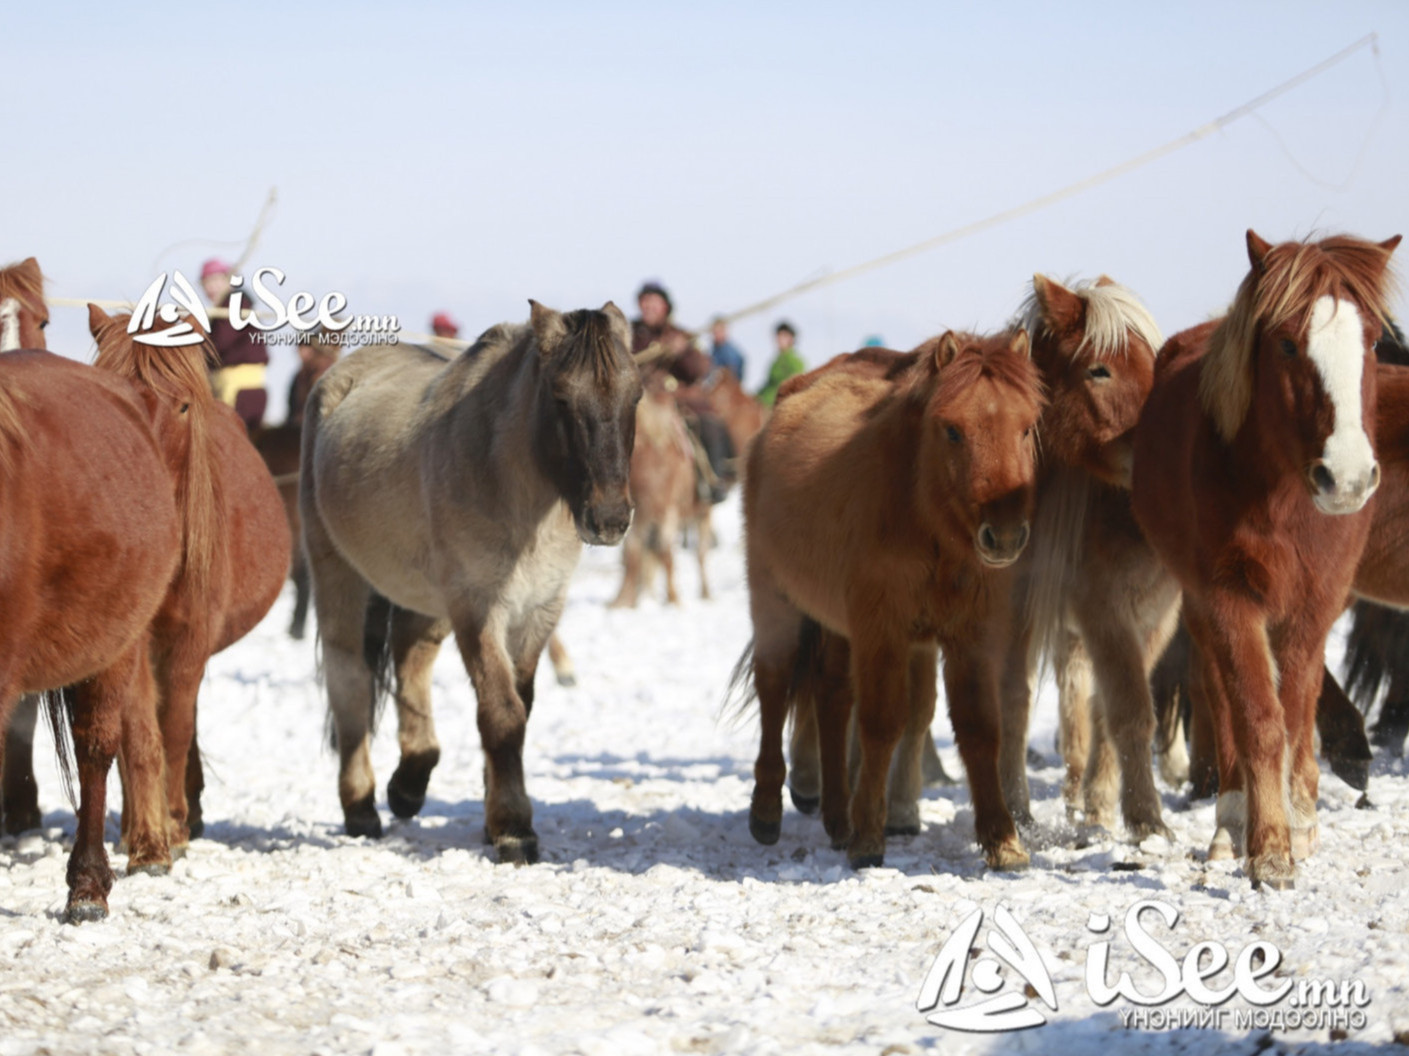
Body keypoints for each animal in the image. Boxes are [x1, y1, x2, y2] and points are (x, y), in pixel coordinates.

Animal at [89, 304, 290, 857]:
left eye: (181, 408)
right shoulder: (131, 641)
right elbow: (139, 732)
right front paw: (145, 836)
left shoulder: (191, 640)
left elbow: (174, 727)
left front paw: (175, 825)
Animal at [305, 300, 645, 862]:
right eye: (560, 397)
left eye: (635, 394)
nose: (610, 519)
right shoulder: (478, 608)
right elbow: (502, 713)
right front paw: (514, 829)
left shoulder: (537, 611)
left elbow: (520, 707)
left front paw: (493, 817)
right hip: (341, 577)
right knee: (349, 680)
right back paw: (361, 807)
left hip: (425, 599)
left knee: (411, 658)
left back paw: (409, 784)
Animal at [1132, 232, 1397, 891]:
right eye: (1287, 343)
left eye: (1372, 342)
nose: (1347, 477)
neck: (1280, 494)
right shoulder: (1229, 598)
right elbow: (1258, 717)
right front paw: (1269, 848)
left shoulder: (1315, 602)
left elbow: (1297, 712)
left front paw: (1298, 827)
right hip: (1202, 608)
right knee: (1219, 696)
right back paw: (1231, 822)